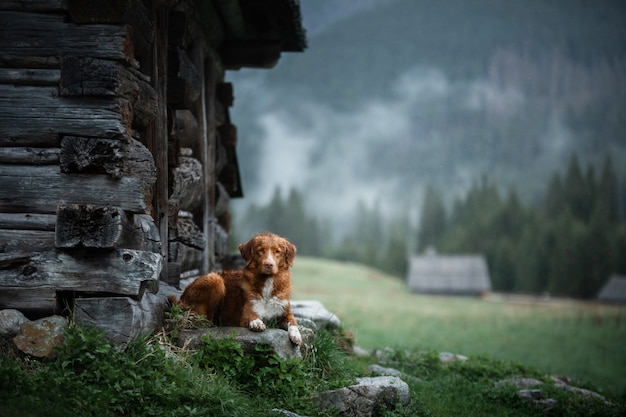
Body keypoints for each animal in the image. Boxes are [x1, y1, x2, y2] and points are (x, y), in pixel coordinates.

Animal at [168, 231, 300, 344]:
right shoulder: (246, 314)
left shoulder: (285, 311)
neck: (267, 282)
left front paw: (296, 335)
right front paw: (257, 322)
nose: (268, 264)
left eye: (277, 251)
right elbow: (252, 316)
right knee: (205, 319)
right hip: (215, 279)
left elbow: (293, 321)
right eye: (260, 250)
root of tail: (182, 298)